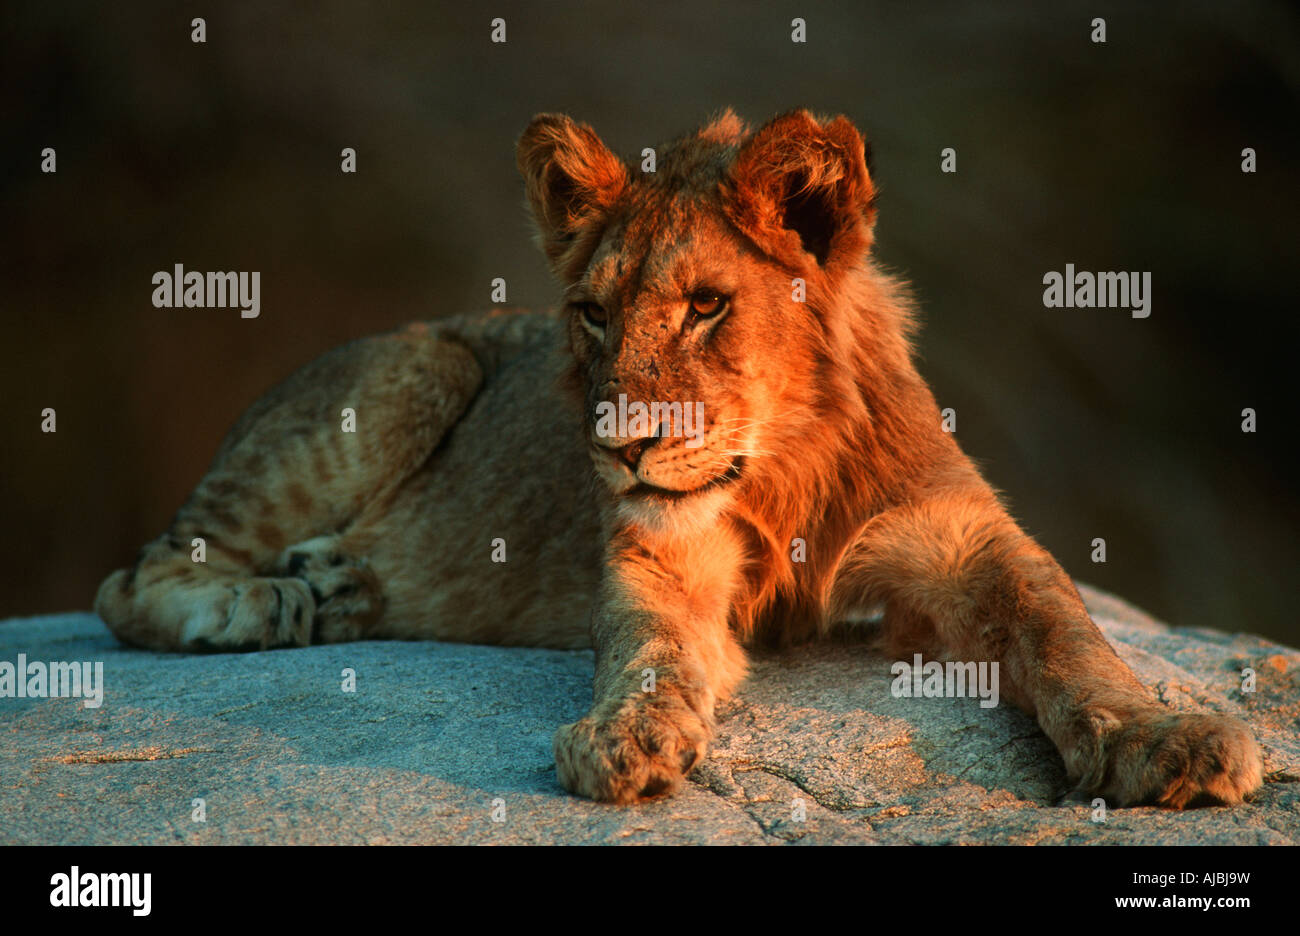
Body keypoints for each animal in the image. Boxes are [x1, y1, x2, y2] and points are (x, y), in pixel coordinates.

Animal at [95, 109, 1263, 808]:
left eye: (707, 306)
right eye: (592, 314)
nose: (619, 449)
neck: (783, 466)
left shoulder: (959, 541)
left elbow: (1066, 629)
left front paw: (1169, 739)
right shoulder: (664, 557)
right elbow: (651, 647)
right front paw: (625, 737)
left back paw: (339, 588)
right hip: (414, 365)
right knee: (131, 580)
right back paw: (276, 603)